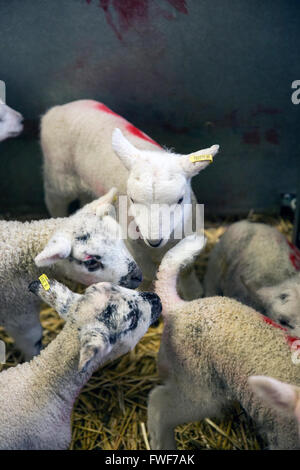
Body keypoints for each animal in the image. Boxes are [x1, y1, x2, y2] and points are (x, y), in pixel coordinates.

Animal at [39, 99, 219, 298]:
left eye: (180, 200)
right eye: (132, 199)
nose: (153, 240)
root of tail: (60, 108)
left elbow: (186, 269)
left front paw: (193, 293)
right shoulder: (134, 247)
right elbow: (147, 274)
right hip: (58, 175)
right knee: (54, 200)